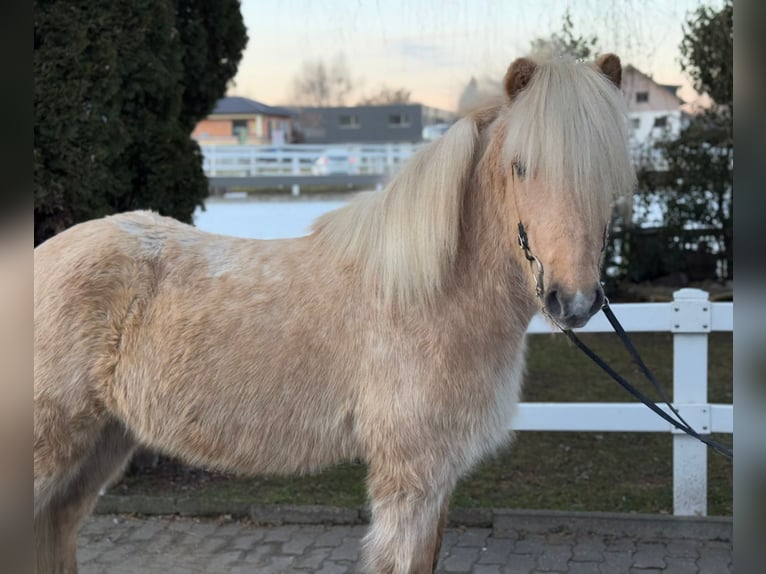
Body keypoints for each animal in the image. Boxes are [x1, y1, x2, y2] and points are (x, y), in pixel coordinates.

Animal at [34, 53, 636, 572]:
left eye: (608, 174)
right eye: (520, 167)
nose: (573, 300)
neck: (430, 294)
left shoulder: (438, 480)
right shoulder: (411, 478)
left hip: (102, 444)